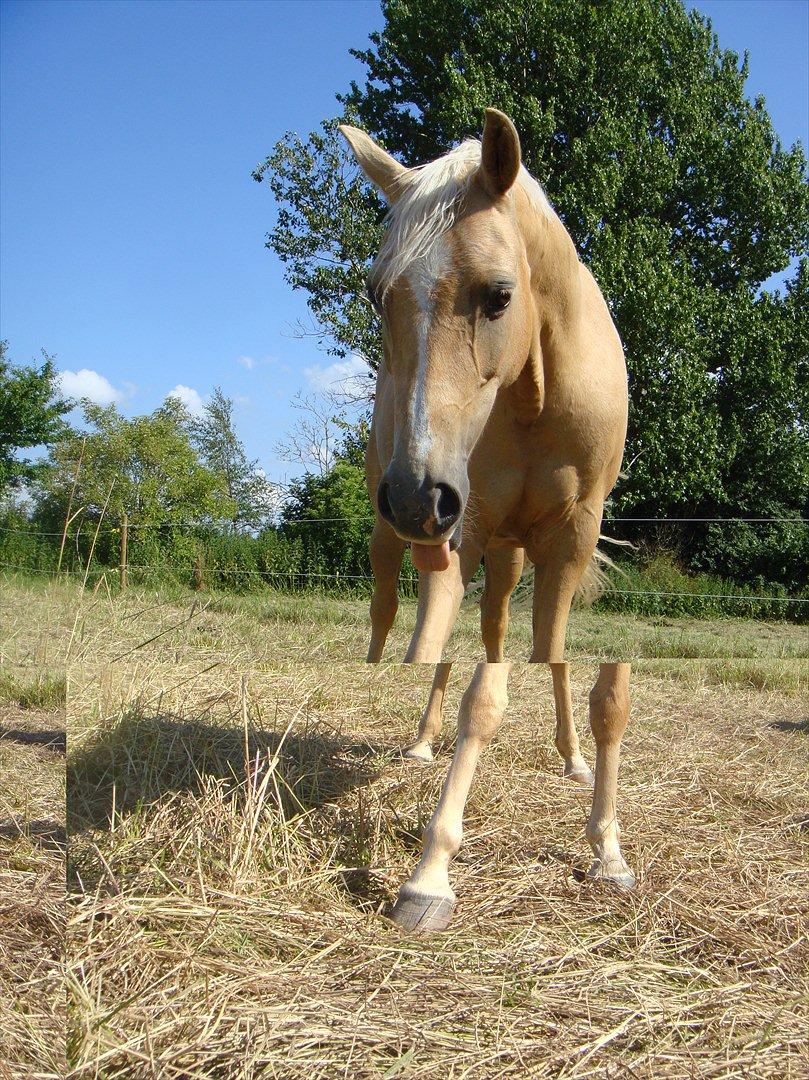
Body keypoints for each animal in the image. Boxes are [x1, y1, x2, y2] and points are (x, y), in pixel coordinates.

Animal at [336, 109, 635, 933]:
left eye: (499, 295)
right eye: (376, 295)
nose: (417, 495)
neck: (540, 394)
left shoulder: (570, 538)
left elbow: (593, 690)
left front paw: (606, 848)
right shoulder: (460, 533)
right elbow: (476, 693)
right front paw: (429, 874)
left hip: (506, 553)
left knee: (509, 637)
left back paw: (566, 756)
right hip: (423, 543)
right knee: (405, 630)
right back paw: (416, 739)